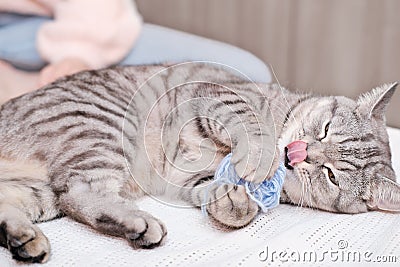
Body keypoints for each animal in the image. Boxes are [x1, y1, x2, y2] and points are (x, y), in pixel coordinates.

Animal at [0, 63, 398, 264]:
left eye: (330, 176)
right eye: (325, 129)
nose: (295, 153)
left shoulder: (188, 181)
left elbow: (219, 196)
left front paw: (236, 201)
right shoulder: (218, 92)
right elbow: (251, 123)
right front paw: (260, 158)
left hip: (41, 188)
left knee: (56, 198)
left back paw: (24, 238)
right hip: (100, 128)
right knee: (79, 191)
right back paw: (139, 223)